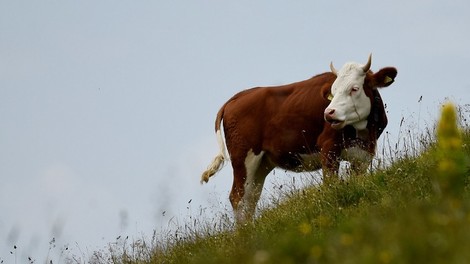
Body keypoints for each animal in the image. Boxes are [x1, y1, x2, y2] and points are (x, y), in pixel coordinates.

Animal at [200, 55, 398, 223]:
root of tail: (236, 97)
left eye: (354, 88)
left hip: (262, 163)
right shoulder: (328, 146)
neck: (363, 131)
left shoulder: (364, 154)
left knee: (250, 198)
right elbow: (330, 184)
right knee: (238, 198)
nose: (329, 113)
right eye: (333, 92)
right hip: (244, 157)